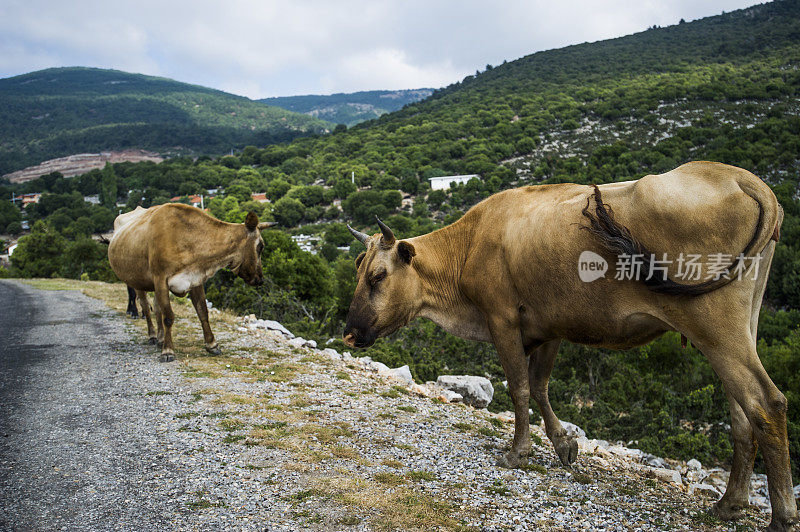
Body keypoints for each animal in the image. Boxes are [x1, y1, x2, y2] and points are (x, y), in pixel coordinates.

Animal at [108, 204, 276, 362]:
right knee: (145, 306)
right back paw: (153, 336)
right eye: (260, 246)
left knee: (156, 308)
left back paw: (161, 338)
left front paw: (212, 345)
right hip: (137, 280)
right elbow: (168, 316)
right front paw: (168, 351)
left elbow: (202, 312)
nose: (260, 279)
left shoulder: (195, 278)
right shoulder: (160, 279)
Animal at [342, 163, 792, 532]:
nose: (348, 334)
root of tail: (737, 176)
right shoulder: (549, 326)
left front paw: (518, 452)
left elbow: (520, 388)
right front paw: (564, 445)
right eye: (358, 272)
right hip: (741, 324)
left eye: (378, 276)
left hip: (714, 325)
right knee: (741, 412)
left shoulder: (502, 318)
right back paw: (730, 504)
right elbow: (541, 387)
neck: (469, 246)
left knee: (765, 402)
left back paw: (781, 516)